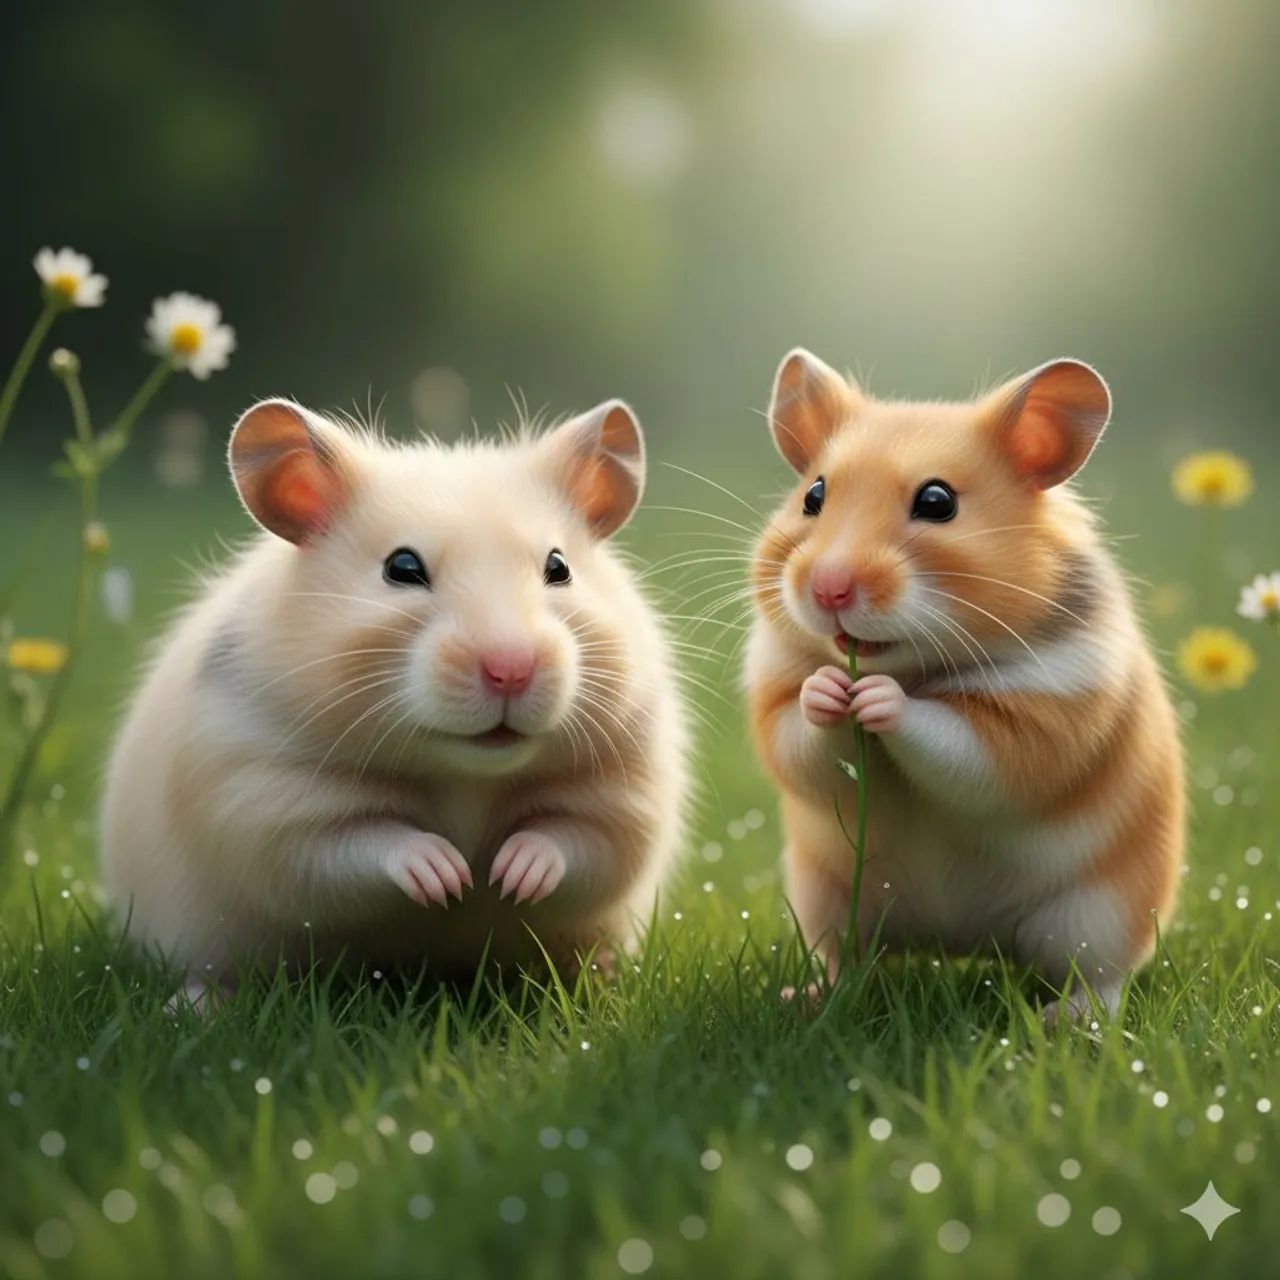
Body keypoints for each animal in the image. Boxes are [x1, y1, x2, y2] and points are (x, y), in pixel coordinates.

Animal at [101, 396, 689, 996]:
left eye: (559, 567)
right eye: (402, 568)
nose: (511, 670)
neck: (464, 774)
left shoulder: (624, 791)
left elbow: (574, 843)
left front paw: (509, 875)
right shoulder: (259, 794)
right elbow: (357, 847)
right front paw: (449, 877)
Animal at [745, 349, 1183, 1021]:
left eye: (937, 501)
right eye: (813, 495)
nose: (828, 589)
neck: (914, 665)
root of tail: (964, 943)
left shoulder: (1047, 715)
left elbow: (957, 742)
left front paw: (877, 700)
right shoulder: (774, 694)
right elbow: (802, 743)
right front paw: (828, 690)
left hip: (1101, 913)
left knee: (1101, 978)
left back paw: (1068, 1020)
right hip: (827, 897)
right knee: (847, 960)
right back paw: (809, 999)